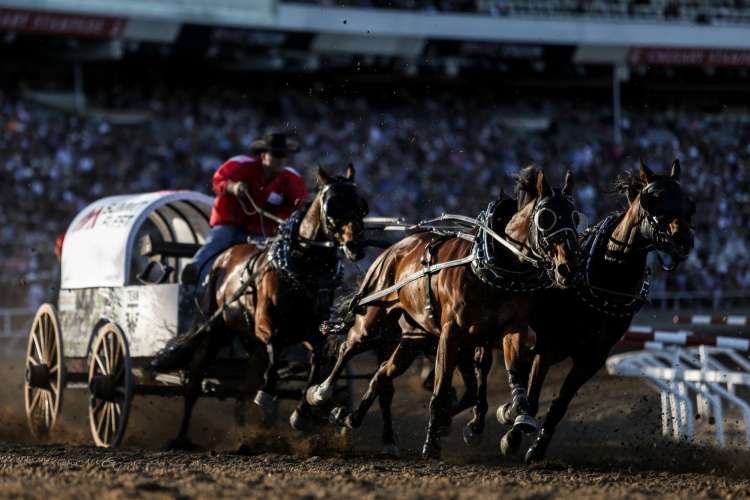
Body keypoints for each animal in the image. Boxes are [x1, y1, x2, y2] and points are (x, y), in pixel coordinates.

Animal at [152, 166, 370, 448]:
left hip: (250, 345)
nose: (356, 247)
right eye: (332, 205)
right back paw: (181, 438)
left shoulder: (311, 332)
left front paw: (302, 411)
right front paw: (267, 395)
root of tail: (224, 256)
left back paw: (246, 435)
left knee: (242, 391)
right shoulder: (267, 325)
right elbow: (275, 350)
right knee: (194, 385)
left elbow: (318, 360)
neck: (302, 272)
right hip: (214, 332)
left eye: (361, 205)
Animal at [306, 166, 580, 458]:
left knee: (382, 374)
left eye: (575, 216)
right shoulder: (452, 333)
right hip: (373, 318)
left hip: (412, 337)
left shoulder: (511, 329)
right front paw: (432, 442)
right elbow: (441, 386)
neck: (492, 268)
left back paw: (351, 417)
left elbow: (515, 371)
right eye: (546, 217)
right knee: (348, 347)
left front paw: (518, 414)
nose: (568, 267)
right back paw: (320, 392)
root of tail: (393, 249)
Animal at [500, 159, 700, 460]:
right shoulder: (550, 344)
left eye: (688, 202)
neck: (606, 278)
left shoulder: (592, 357)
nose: (683, 239)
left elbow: (559, 405)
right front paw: (513, 434)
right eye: (653, 199)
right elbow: (533, 397)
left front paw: (537, 447)